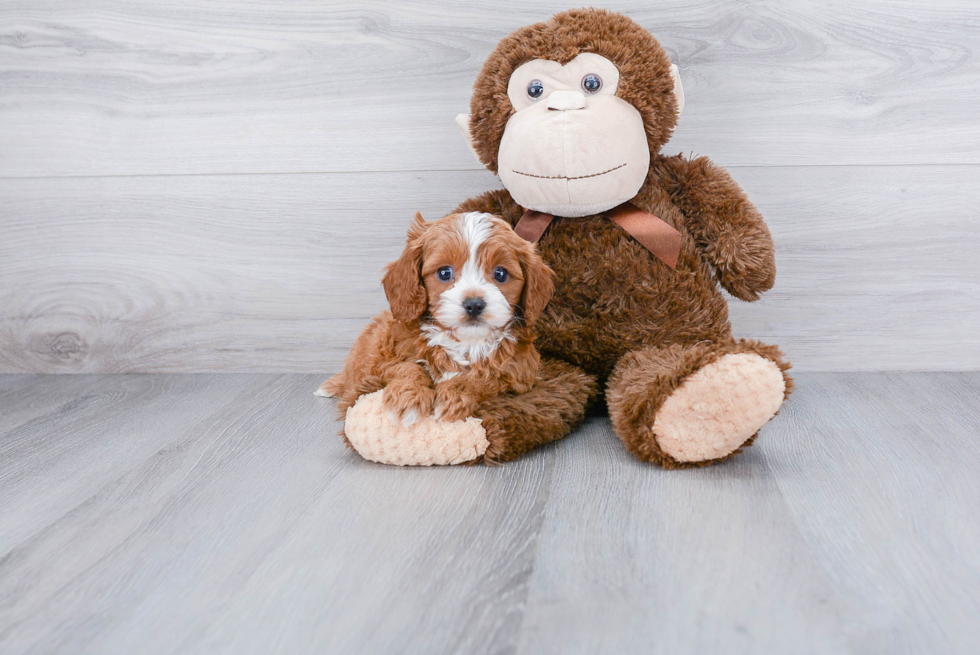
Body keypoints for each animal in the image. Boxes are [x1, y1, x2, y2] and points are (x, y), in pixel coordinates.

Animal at [320, 210, 556, 434]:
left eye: (500, 273)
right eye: (444, 273)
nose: (474, 304)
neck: (465, 342)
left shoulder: (520, 371)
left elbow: (485, 376)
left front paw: (453, 396)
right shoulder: (381, 358)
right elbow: (407, 367)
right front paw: (408, 399)